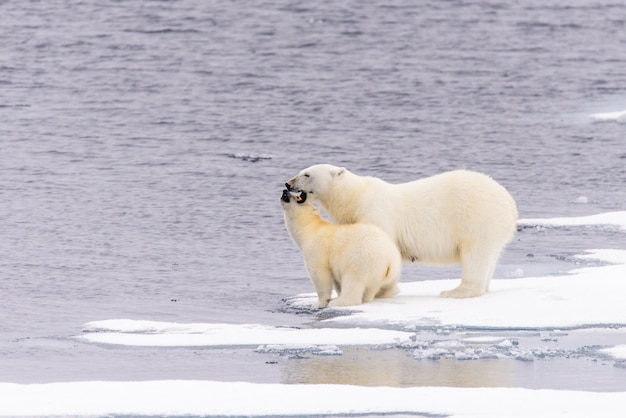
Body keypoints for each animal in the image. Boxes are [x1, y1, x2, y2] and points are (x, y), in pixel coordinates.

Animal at [284, 165, 516, 298]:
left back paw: (456, 291)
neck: (356, 197)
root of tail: (509, 203)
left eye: (306, 174)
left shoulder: (376, 214)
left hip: (478, 219)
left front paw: (384, 292)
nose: (288, 183)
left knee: (475, 254)